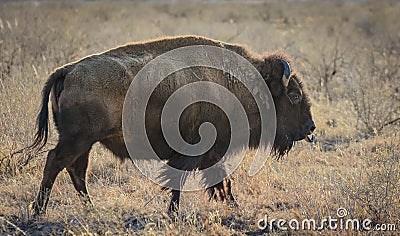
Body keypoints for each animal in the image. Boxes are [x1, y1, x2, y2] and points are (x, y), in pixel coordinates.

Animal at [28, 35, 316, 216]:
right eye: (294, 95)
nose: (311, 127)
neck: (238, 83)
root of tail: (68, 70)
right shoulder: (196, 150)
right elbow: (183, 180)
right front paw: (174, 213)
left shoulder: (212, 152)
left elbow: (221, 181)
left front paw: (232, 206)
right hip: (77, 140)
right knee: (56, 162)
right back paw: (39, 211)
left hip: (85, 143)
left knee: (76, 171)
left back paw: (90, 208)